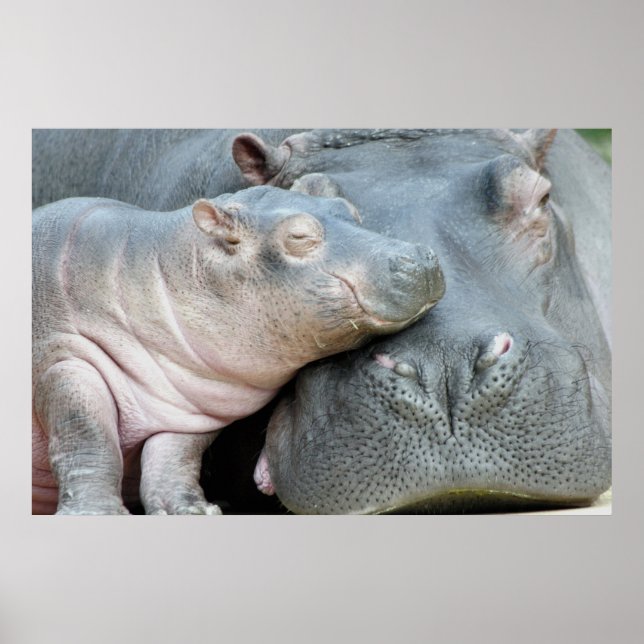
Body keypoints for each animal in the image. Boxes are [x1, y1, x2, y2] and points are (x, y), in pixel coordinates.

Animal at [32, 186, 445, 514]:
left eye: (350, 208)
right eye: (298, 235)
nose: (420, 256)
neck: (158, 265)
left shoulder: (191, 400)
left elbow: (174, 460)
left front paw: (194, 512)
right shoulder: (66, 361)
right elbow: (86, 438)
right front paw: (96, 514)